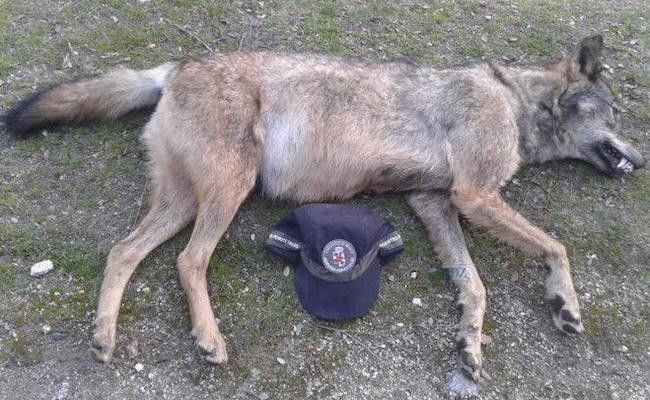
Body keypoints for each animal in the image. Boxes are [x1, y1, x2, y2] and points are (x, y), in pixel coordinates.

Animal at [2, 35, 645, 381]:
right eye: (616, 116)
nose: (640, 162)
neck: (513, 101)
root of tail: (175, 67)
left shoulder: (434, 202)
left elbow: (474, 284)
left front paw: (469, 341)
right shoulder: (474, 195)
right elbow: (556, 246)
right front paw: (565, 302)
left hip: (183, 201)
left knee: (123, 252)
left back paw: (104, 337)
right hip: (230, 190)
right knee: (188, 262)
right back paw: (208, 340)